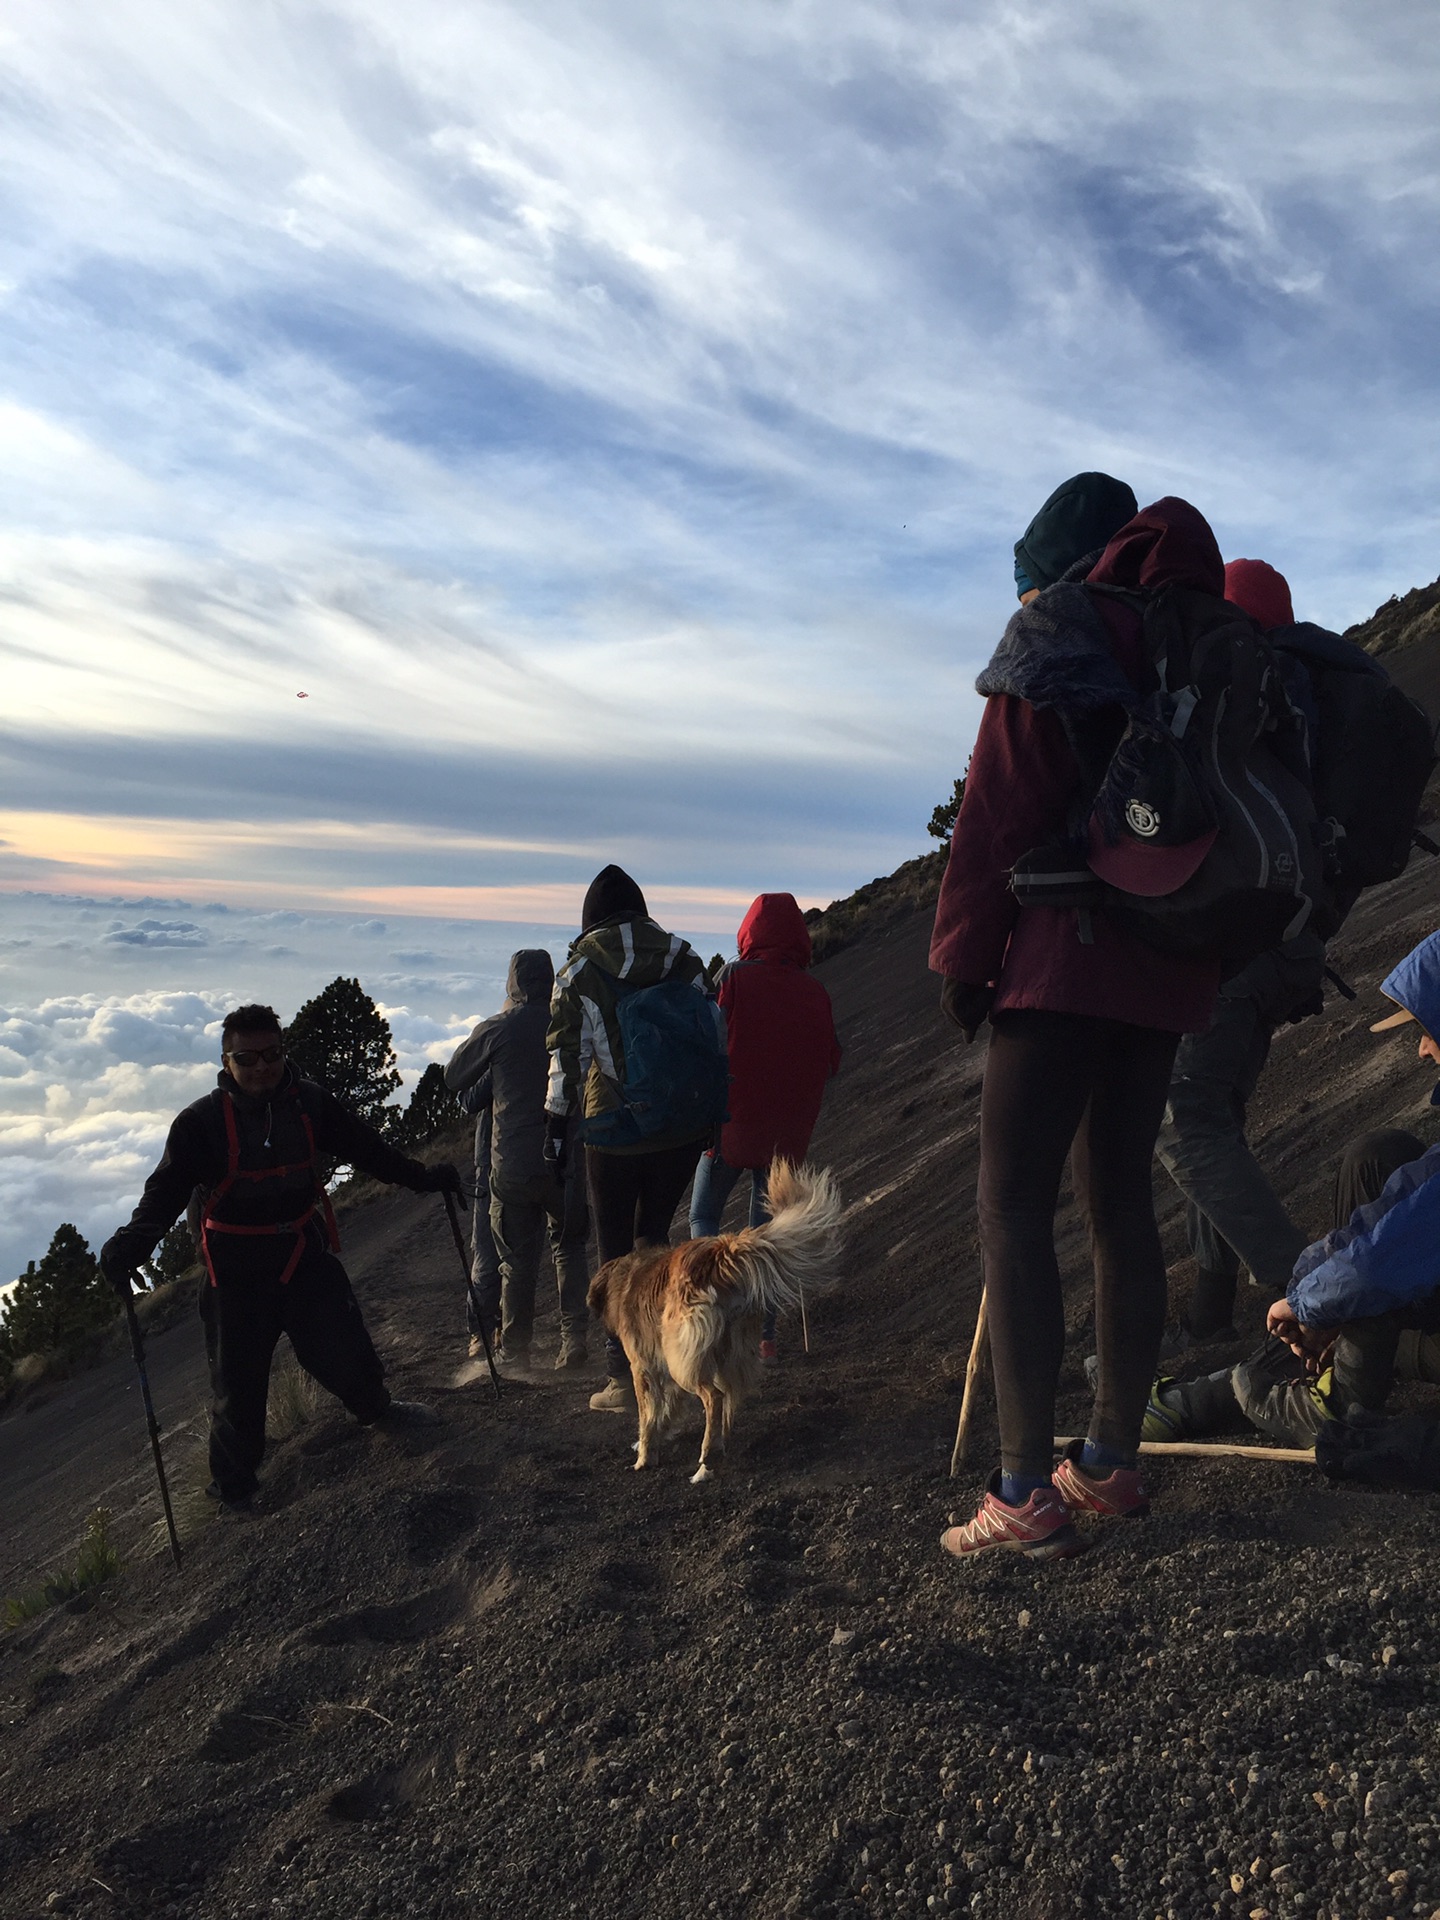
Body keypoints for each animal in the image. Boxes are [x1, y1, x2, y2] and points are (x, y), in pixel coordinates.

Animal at [587, 1152, 844, 1482]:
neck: (625, 1274)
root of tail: (718, 1254)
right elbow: (666, 1409)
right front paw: (662, 1433)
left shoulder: (643, 1368)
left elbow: (647, 1416)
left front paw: (645, 1455)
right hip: (724, 1351)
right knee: (729, 1399)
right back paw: (716, 1451)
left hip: (682, 1358)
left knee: (715, 1397)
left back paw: (707, 1453)